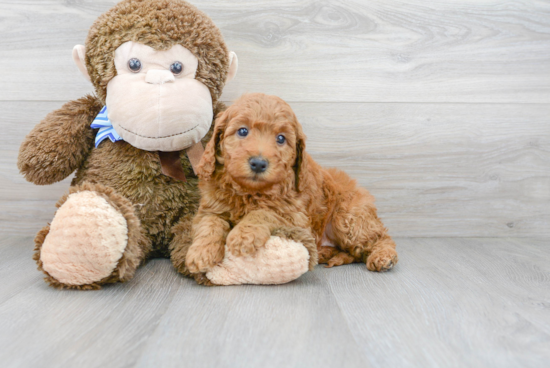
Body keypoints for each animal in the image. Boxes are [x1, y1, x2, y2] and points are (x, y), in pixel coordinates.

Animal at [188, 93, 398, 274]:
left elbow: (263, 212)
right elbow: (210, 223)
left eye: (281, 138)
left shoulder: (295, 217)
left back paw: (383, 256)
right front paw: (201, 252)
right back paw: (324, 253)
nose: (258, 163)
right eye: (243, 131)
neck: (250, 191)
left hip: (348, 218)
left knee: (379, 237)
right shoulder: (209, 209)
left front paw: (243, 236)